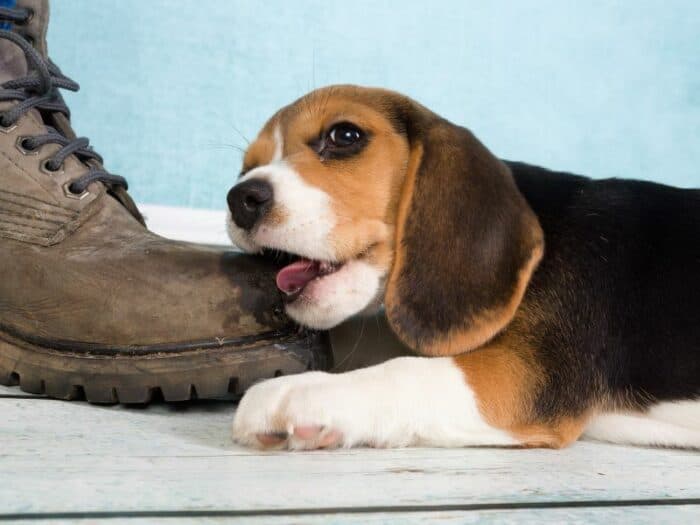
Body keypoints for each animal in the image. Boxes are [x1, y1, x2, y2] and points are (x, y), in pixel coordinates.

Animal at [227, 86, 696, 450]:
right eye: (246, 167)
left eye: (344, 135)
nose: (240, 199)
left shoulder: (523, 376)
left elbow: (407, 370)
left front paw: (303, 390)